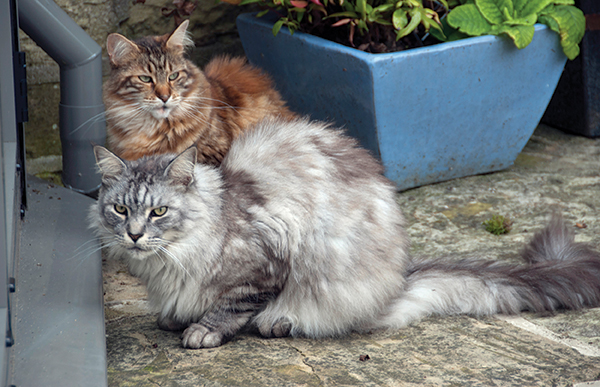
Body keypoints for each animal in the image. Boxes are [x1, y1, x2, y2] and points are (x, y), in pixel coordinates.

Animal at [91, 117, 600, 348]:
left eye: (159, 212)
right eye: (120, 209)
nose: (134, 235)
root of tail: (400, 278)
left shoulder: (266, 264)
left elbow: (230, 307)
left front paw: (202, 330)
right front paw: (174, 316)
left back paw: (280, 322)